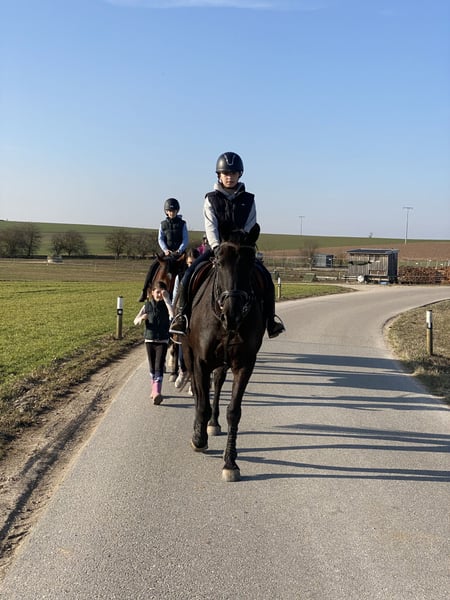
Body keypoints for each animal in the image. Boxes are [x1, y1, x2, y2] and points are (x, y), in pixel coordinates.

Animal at [181, 228, 266, 482]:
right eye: (219, 261)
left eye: (250, 262)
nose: (232, 314)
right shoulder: (200, 361)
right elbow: (202, 401)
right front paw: (198, 439)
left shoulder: (244, 365)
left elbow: (234, 412)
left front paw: (230, 462)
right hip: (189, 354)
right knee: (199, 391)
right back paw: (201, 427)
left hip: (222, 362)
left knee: (217, 384)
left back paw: (213, 423)